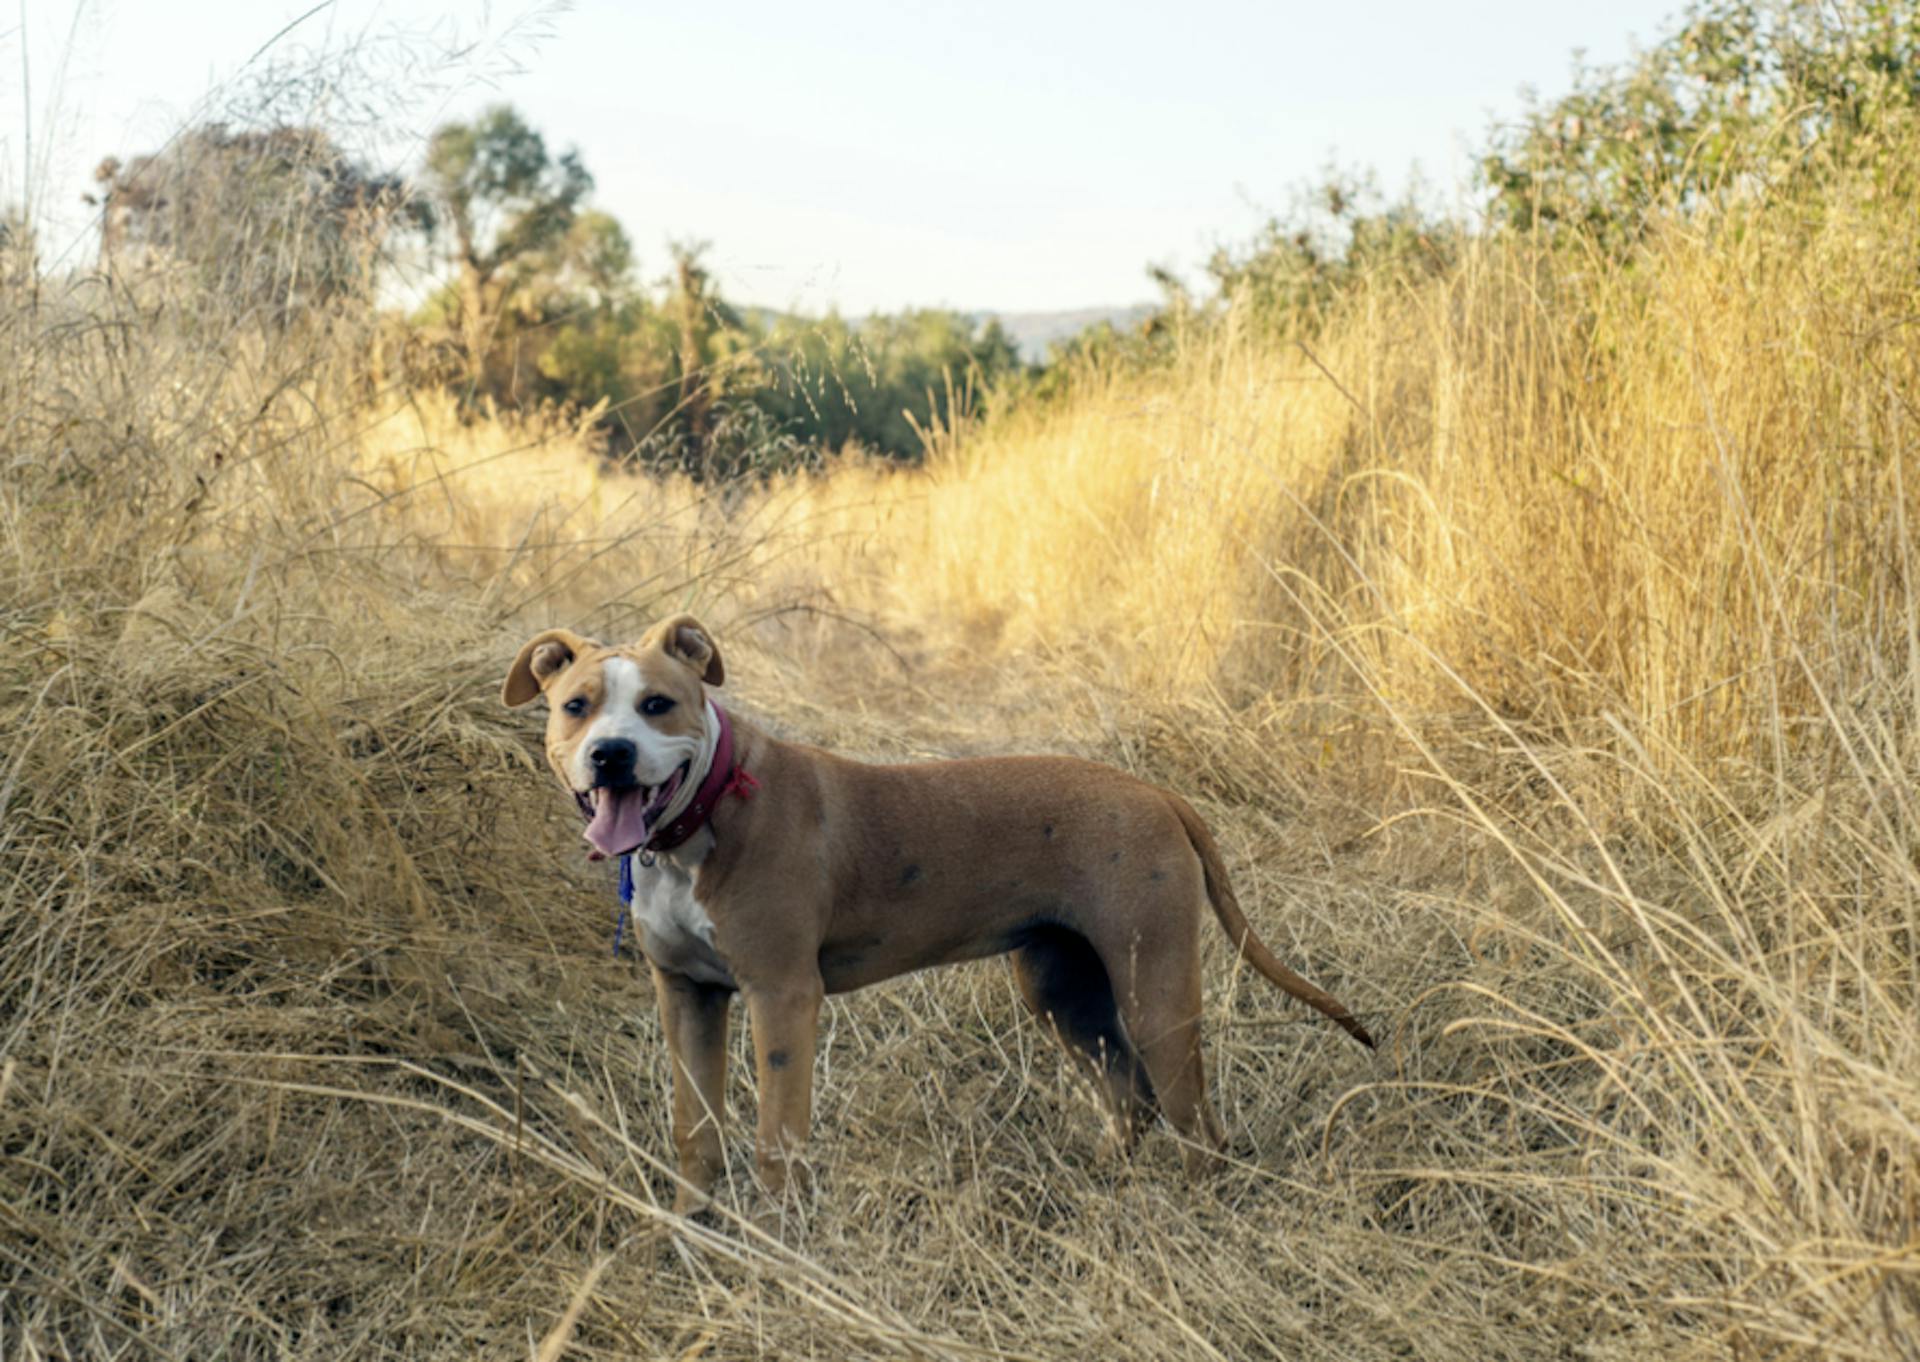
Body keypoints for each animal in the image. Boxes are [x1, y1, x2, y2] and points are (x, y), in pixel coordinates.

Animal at [510, 614, 1374, 1198]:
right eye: (576, 706)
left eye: (658, 704)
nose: (611, 754)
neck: (705, 810)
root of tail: (1156, 792)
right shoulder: (687, 997)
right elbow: (695, 1129)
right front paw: (694, 1228)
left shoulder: (782, 997)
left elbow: (776, 1136)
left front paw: (778, 1237)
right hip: (1065, 989)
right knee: (1131, 1098)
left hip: (1154, 986)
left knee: (1195, 1121)